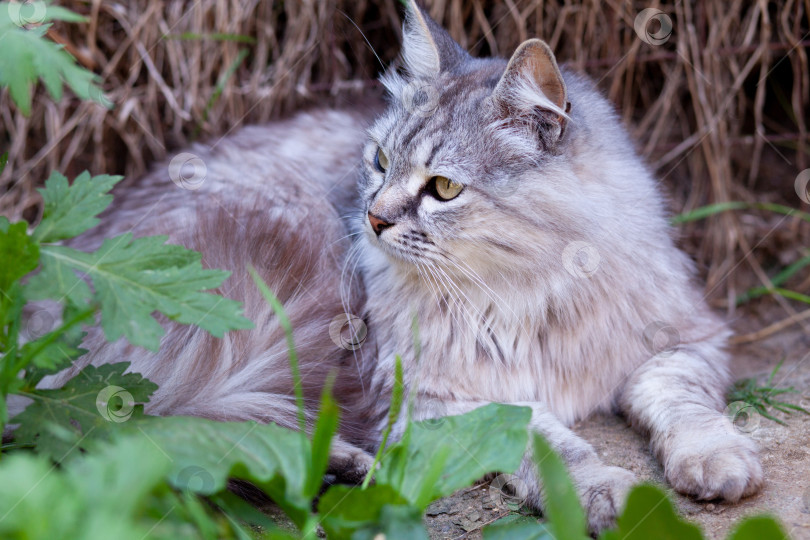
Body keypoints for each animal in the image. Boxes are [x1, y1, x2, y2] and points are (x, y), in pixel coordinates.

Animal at [19, 0, 756, 532]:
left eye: (444, 189)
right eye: (378, 162)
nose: (372, 219)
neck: (530, 290)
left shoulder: (687, 339)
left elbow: (681, 402)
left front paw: (716, 460)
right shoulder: (437, 397)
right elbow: (548, 442)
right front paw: (600, 490)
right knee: (156, 422)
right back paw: (341, 462)